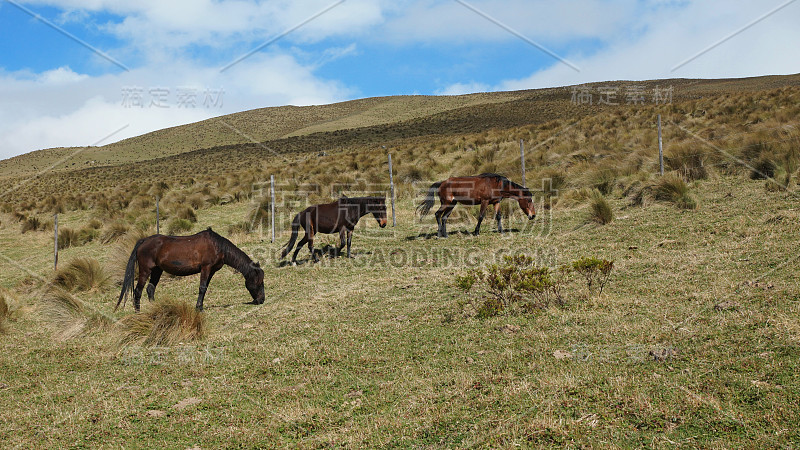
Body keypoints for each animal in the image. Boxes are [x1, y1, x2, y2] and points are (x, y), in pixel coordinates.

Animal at [116, 227, 266, 312]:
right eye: (258, 282)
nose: (261, 300)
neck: (218, 246)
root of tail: (143, 241)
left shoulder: (211, 271)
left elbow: (205, 288)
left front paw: (200, 306)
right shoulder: (206, 268)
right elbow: (202, 288)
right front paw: (199, 308)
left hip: (157, 270)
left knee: (150, 289)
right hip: (145, 270)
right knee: (138, 291)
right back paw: (138, 312)